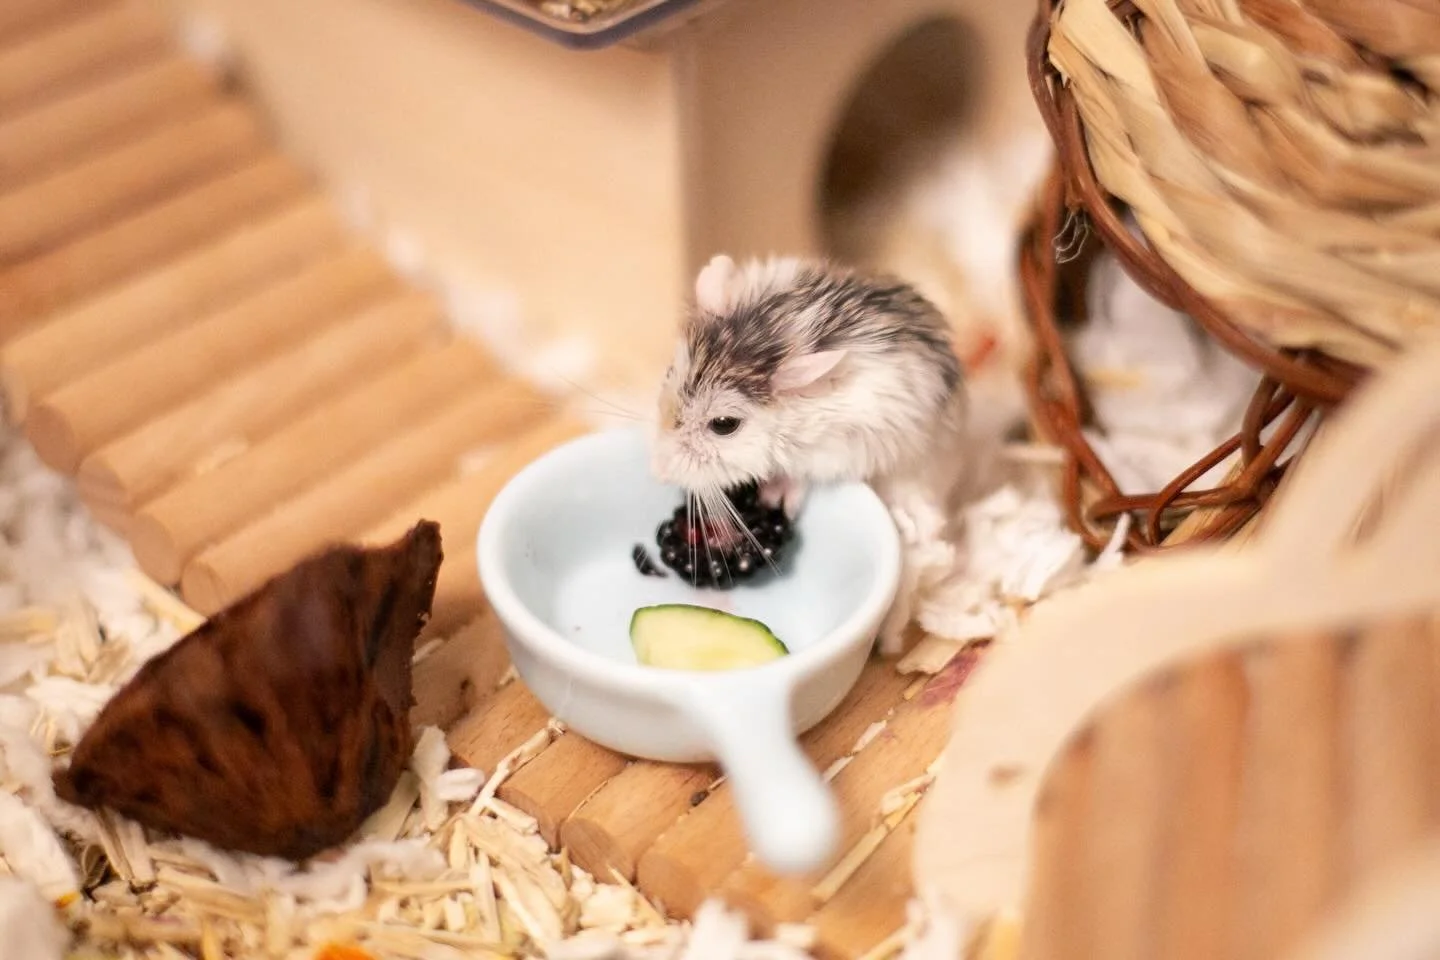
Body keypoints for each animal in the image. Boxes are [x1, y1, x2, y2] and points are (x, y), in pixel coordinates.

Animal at [649, 253, 973, 653]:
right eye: (668, 373)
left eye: (724, 424)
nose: (657, 470)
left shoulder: (847, 447)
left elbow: (803, 473)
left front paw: (776, 495)